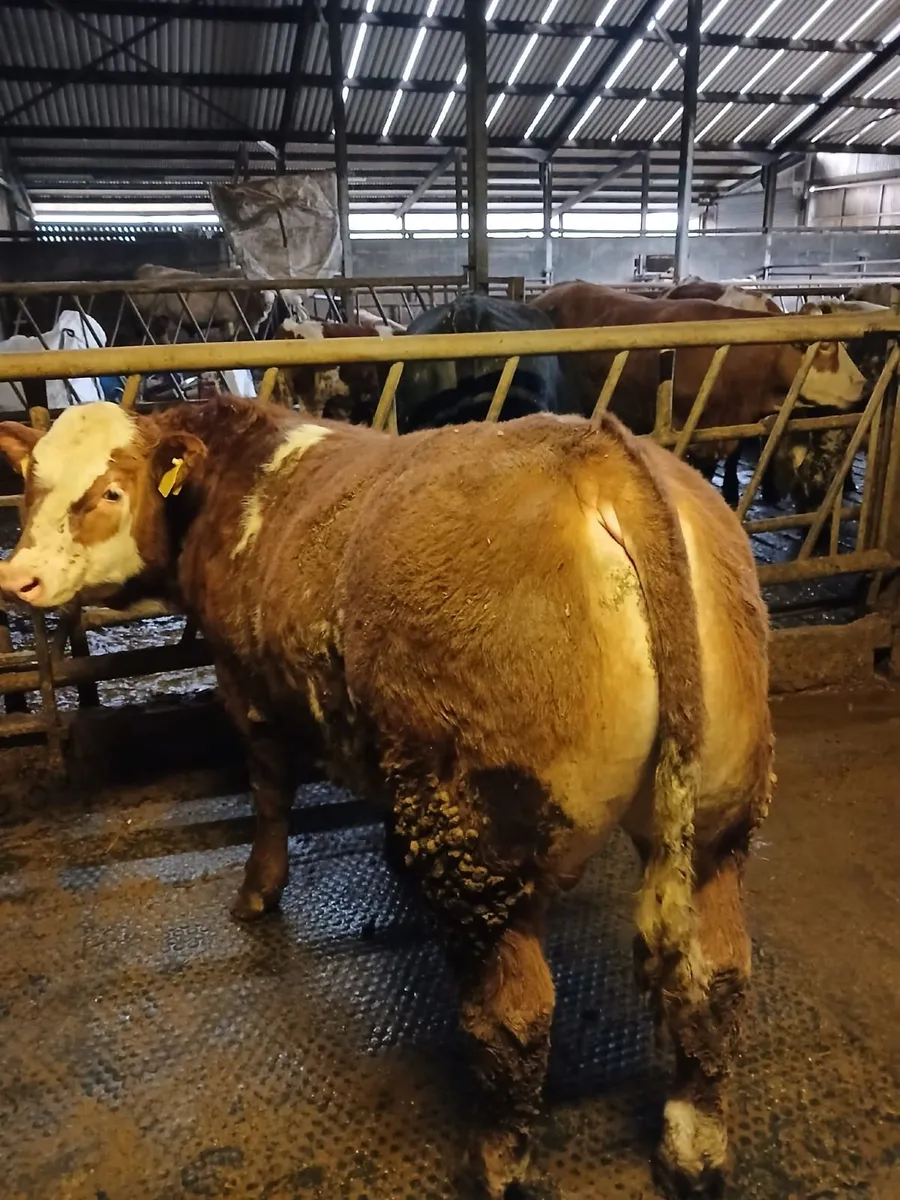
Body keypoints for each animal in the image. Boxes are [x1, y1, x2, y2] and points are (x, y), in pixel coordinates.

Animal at [0, 397, 773, 1200]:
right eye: (28, 483)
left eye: (109, 492)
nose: (17, 576)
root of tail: (598, 451)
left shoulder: (247, 687)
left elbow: (269, 793)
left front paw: (257, 891)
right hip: (718, 820)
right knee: (717, 977)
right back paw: (693, 1152)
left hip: (484, 842)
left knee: (515, 1016)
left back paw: (497, 1164)